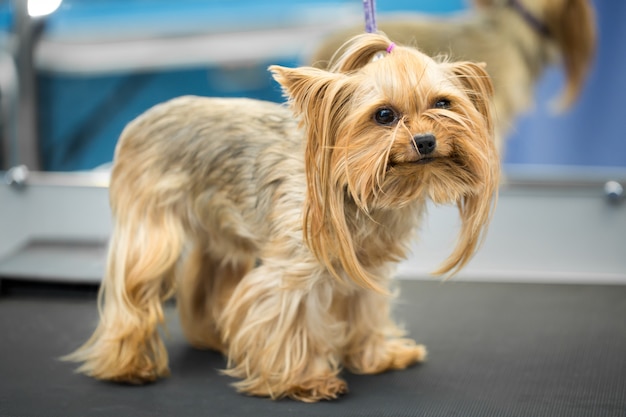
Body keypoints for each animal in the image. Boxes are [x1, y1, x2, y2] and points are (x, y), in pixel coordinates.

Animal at [66, 34, 498, 402]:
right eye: (384, 115)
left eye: (443, 104)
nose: (425, 141)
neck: (362, 191)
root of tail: (143, 118)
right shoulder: (294, 269)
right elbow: (289, 317)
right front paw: (303, 381)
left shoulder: (366, 266)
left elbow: (365, 310)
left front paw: (377, 356)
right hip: (149, 227)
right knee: (134, 291)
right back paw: (128, 365)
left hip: (221, 231)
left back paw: (215, 337)